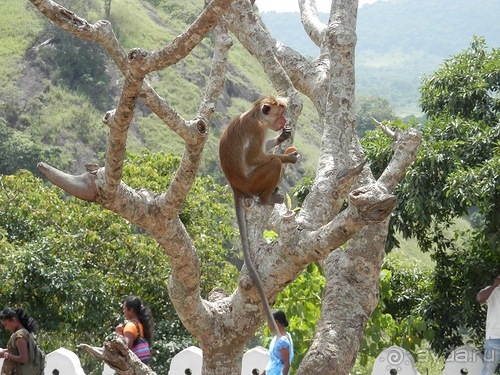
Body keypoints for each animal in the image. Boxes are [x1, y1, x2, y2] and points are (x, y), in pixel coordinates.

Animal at [218, 96, 296, 338]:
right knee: (272, 165)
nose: (284, 122)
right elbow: (257, 157)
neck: (255, 115)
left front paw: (282, 138)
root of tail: (235, 186)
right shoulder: (257, 130)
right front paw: (288, 157)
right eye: (281, 113)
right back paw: (266, 198)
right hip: (253, 182)